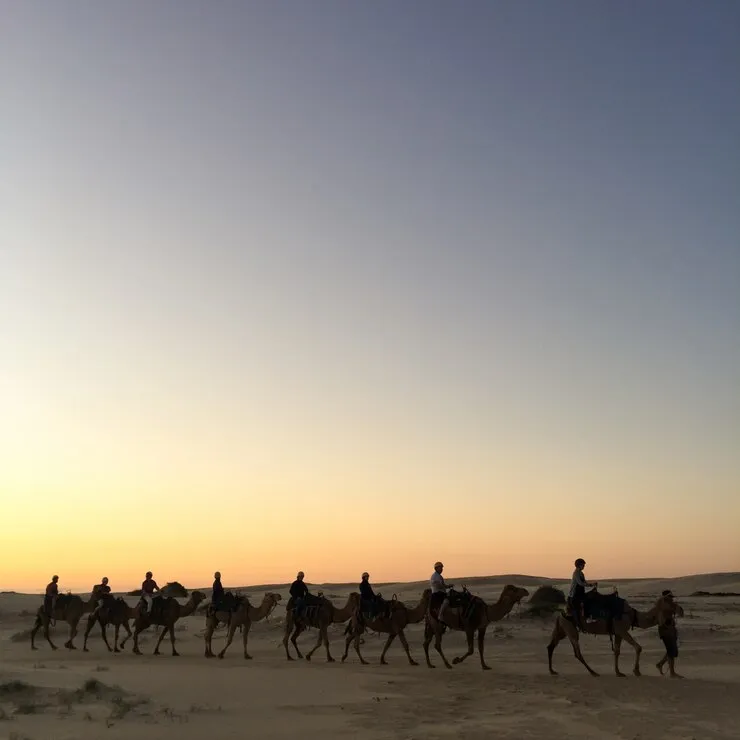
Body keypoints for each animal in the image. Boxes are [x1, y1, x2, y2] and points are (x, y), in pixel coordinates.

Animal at [548, 588, 684, 676]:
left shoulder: (618, 633)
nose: (681, 610)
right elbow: (638, 647)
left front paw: (618, 672)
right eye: (670, 601)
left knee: (551, 646)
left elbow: (617, 651)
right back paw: (593, 672)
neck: (632, 615)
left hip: (562, 628)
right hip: (570, 628)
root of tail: (562, 613)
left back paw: (552, 670)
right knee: (577, 652)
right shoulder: (622, 630)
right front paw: (636, 671)